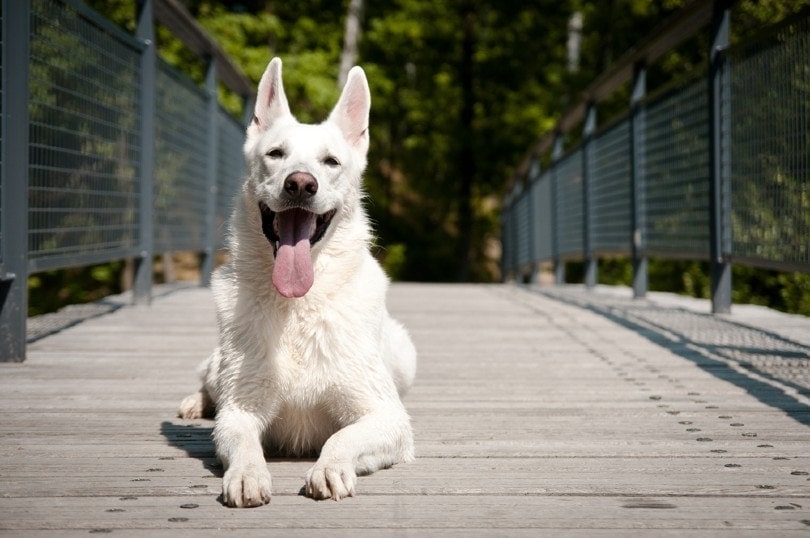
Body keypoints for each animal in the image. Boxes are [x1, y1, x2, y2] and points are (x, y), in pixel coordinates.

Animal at [178, 58, 416, 506]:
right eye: (276, 154)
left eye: (331, 162)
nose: (301, 184)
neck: (298, 306)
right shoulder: (240, 412)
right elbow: (243, 442)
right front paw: (247, 474)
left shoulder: (387, 416)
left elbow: (342, 438)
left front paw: (329, 467)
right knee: (209, 384)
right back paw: (195, 402)